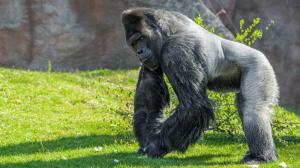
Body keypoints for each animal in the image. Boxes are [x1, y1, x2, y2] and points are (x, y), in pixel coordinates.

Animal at [121, 7, 278, 163]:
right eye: (134, 44)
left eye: (141, 38)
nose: (139, 51)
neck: (165, 30)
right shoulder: (151, 59)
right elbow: (149, 90)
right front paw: (146, 142)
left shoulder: (176, 50)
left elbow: (194, 106)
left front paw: (155, 146)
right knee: (244, 106)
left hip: (259, 65)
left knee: (253, 110)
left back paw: (260, 156)